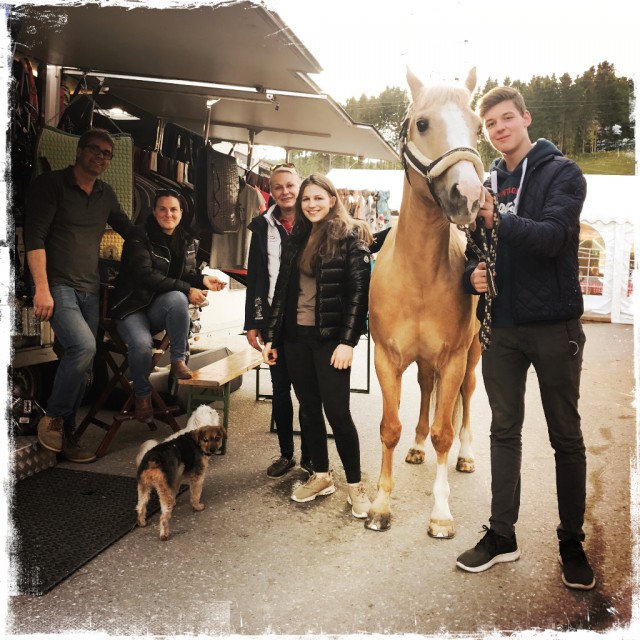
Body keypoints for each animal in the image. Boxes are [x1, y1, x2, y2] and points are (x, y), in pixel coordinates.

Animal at [134, 404, 225, 540]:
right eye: (210, 412)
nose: (216, 412)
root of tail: (153, 458)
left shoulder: (177, 478)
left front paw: (175, 501)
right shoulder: (197, 477)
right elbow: (195, 494)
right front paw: (197, 506)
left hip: (144, 488)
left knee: (140, 507)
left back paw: (142, 522)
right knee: (163, 517)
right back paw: (164, 534)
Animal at [364, 67, 484, 536]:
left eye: (479, 126)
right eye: (422, 123)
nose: (468, 195)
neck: (417, 276)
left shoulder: (452, 359)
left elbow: (443, 433)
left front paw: (441, 512)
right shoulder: (386, 357)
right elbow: (389, 427)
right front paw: (380, 504)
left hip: (471, 356)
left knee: (465, 401)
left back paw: (466, 456)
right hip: (424, 362)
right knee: (426, 391)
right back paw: (416, 447)